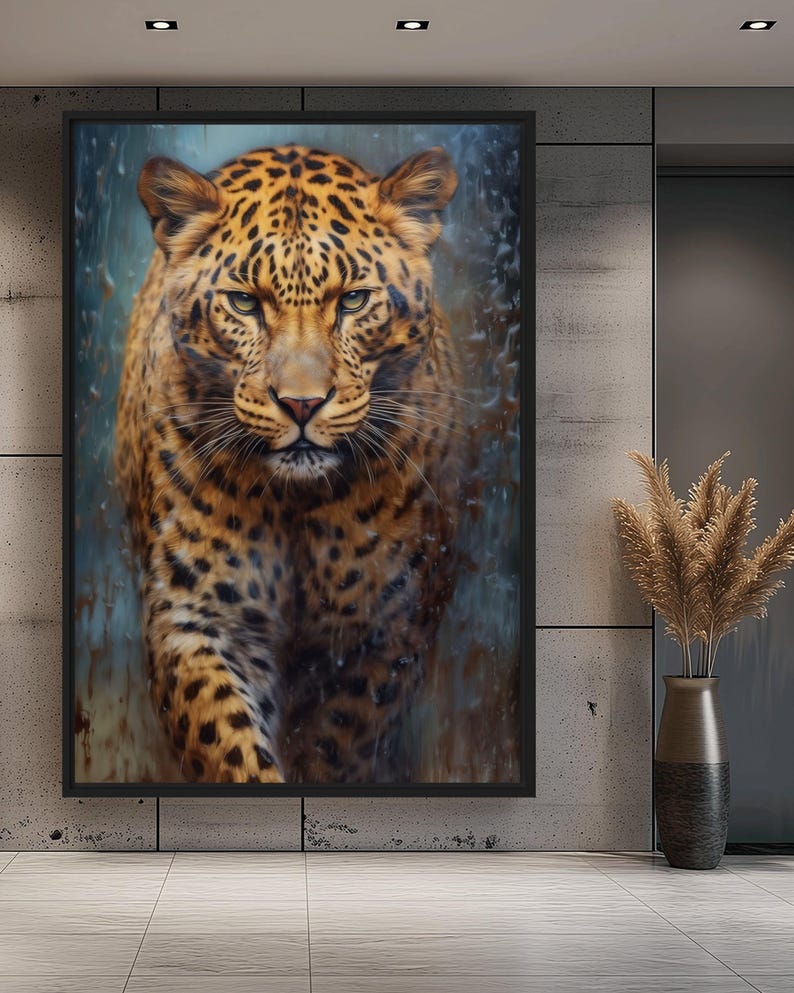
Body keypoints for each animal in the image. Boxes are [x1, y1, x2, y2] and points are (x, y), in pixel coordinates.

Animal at [115, 141, 463, 783]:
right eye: (244, 303)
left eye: (353, 300)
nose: (301, 403)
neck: (295, 501)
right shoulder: (196, 620)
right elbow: (230, 746)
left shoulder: (386, 634)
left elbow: (339, 747)